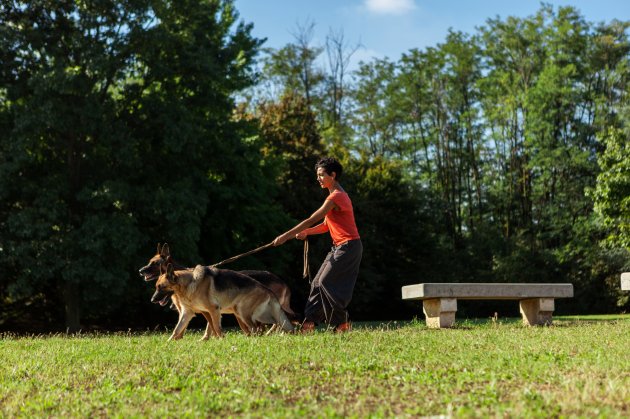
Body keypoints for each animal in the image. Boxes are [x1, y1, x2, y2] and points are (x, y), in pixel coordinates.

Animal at [152, 264, 296, 340]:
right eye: (156, 287)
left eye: (161, 287)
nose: (152, 300)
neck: (189, 283)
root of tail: (267, 289)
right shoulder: (188, 313)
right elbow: (177, 329)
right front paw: (169, 343)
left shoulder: (213, 310)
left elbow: (216, 327)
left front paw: (221, 340)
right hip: (253, 315)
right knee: (265, 326)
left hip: (242, 312)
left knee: (257, 328)